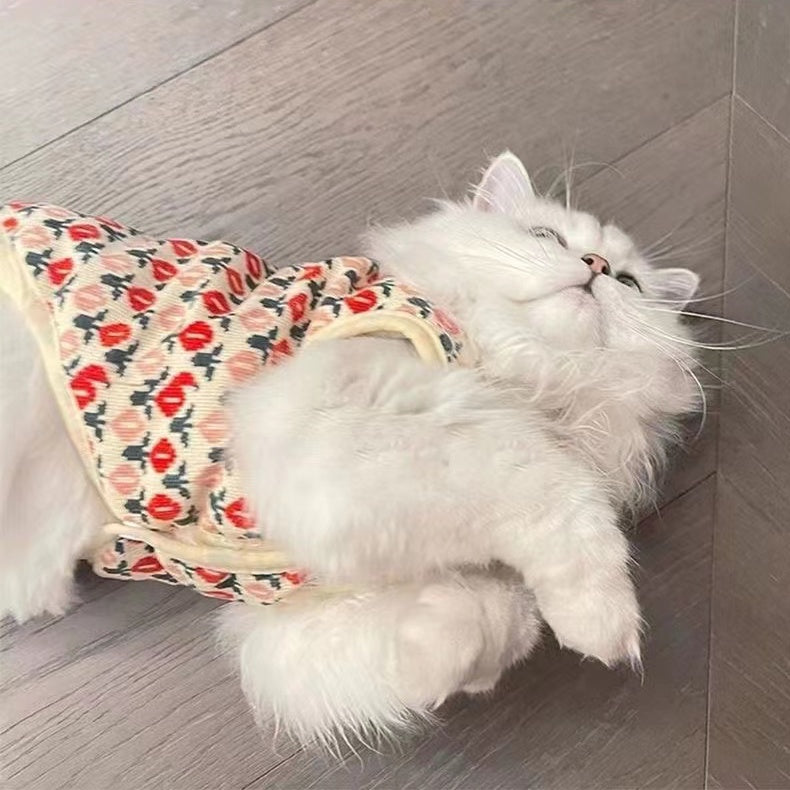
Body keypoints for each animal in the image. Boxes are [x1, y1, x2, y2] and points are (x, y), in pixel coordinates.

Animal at [0, 151, 701, 748]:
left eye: (629, 282)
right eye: (547, 238)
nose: (596, 267)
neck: (519, 369)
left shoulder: (287, 616)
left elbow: (488, 622)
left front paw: (445, 644)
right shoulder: (343, 425)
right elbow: (551, 490)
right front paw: (604, 620)